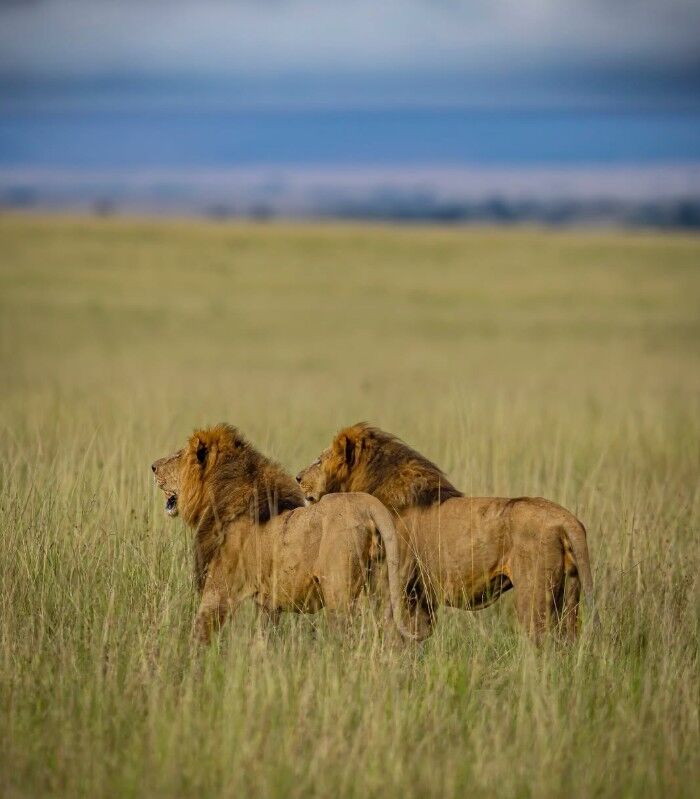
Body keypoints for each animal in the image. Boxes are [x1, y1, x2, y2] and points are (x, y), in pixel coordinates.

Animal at [151, 424, 424, 644]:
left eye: (178, 455)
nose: (152, 466)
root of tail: (370, 504)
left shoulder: (219, 590)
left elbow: (200, 632)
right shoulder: (268, 604)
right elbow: (263, 638)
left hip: (338, 591)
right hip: (384, 586)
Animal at [297, 423, 598, 643]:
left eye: (319, 461)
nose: (298, 477)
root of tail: (567, 519)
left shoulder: (397, 585)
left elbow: (395, 634)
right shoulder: (420, 596)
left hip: (534, 594)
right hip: (570, 595)